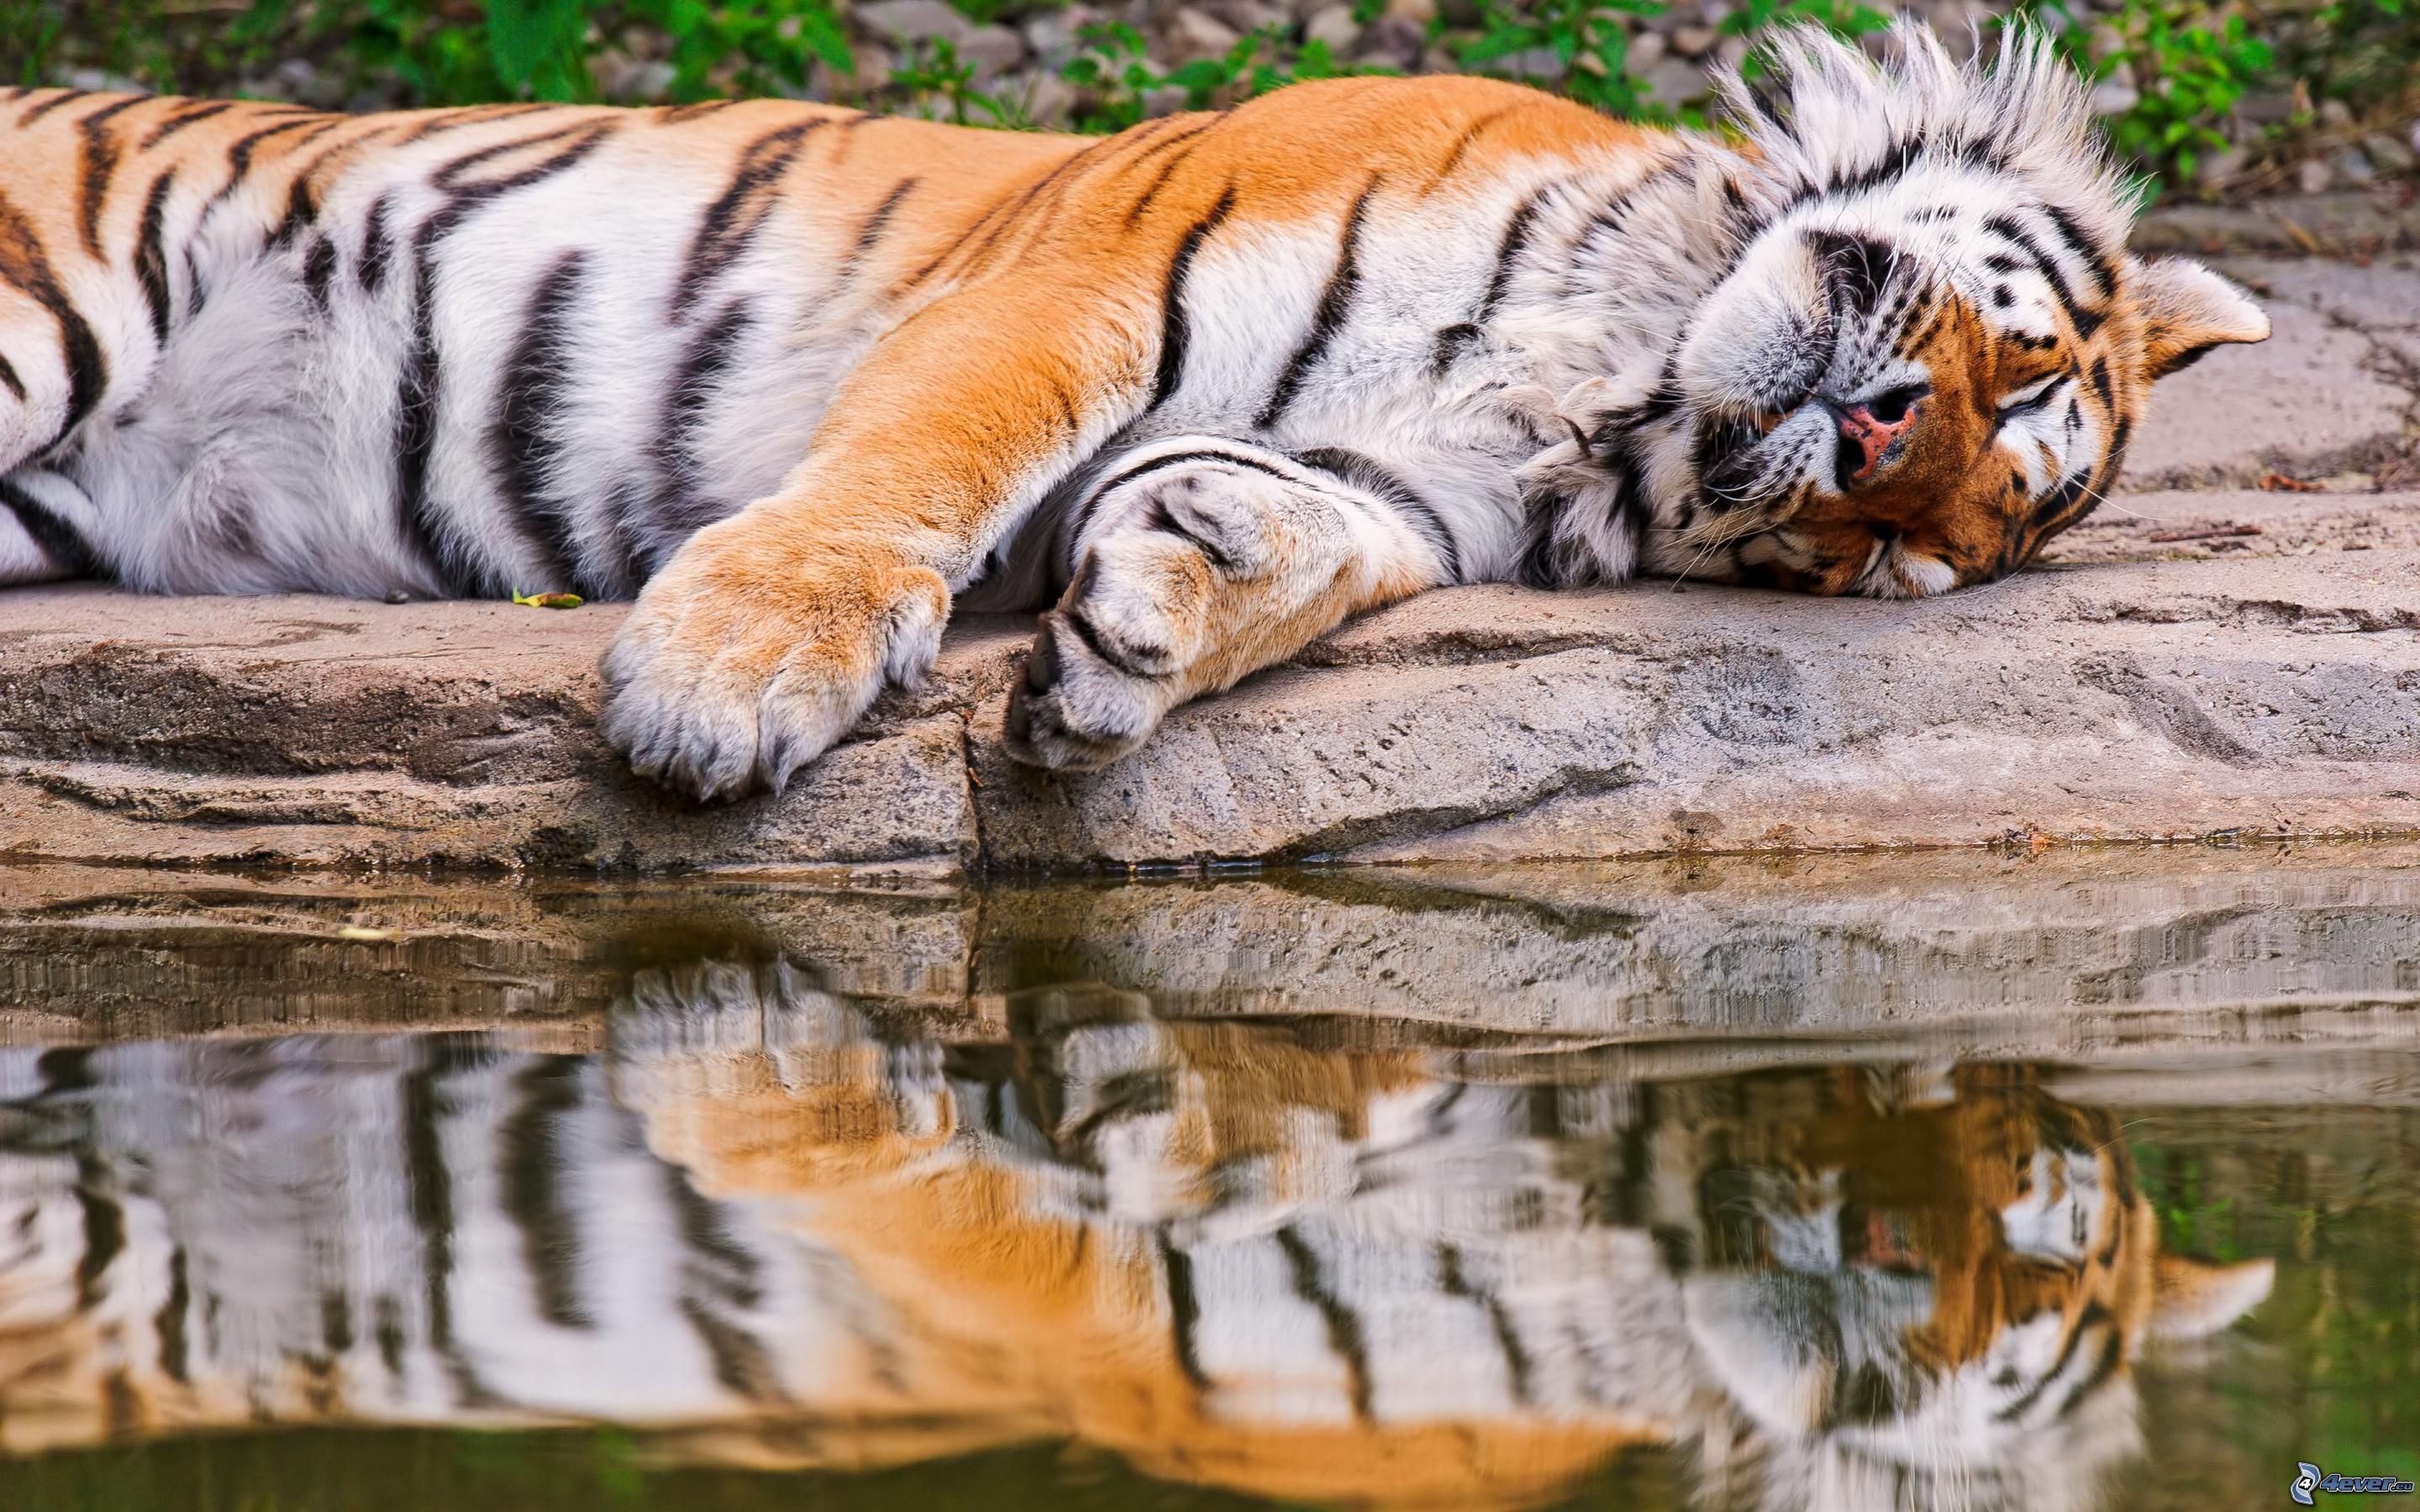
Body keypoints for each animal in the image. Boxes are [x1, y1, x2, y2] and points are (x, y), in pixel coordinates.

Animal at [0, 24, 2267, 799]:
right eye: (2021, 373)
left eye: (1903, 560)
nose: (1881, 455)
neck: (1605, 379)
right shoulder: (1084, 277)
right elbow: (919, 467)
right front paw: (725, 685)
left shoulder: (1399, 495)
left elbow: (1292, 539)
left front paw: (1144, 631)